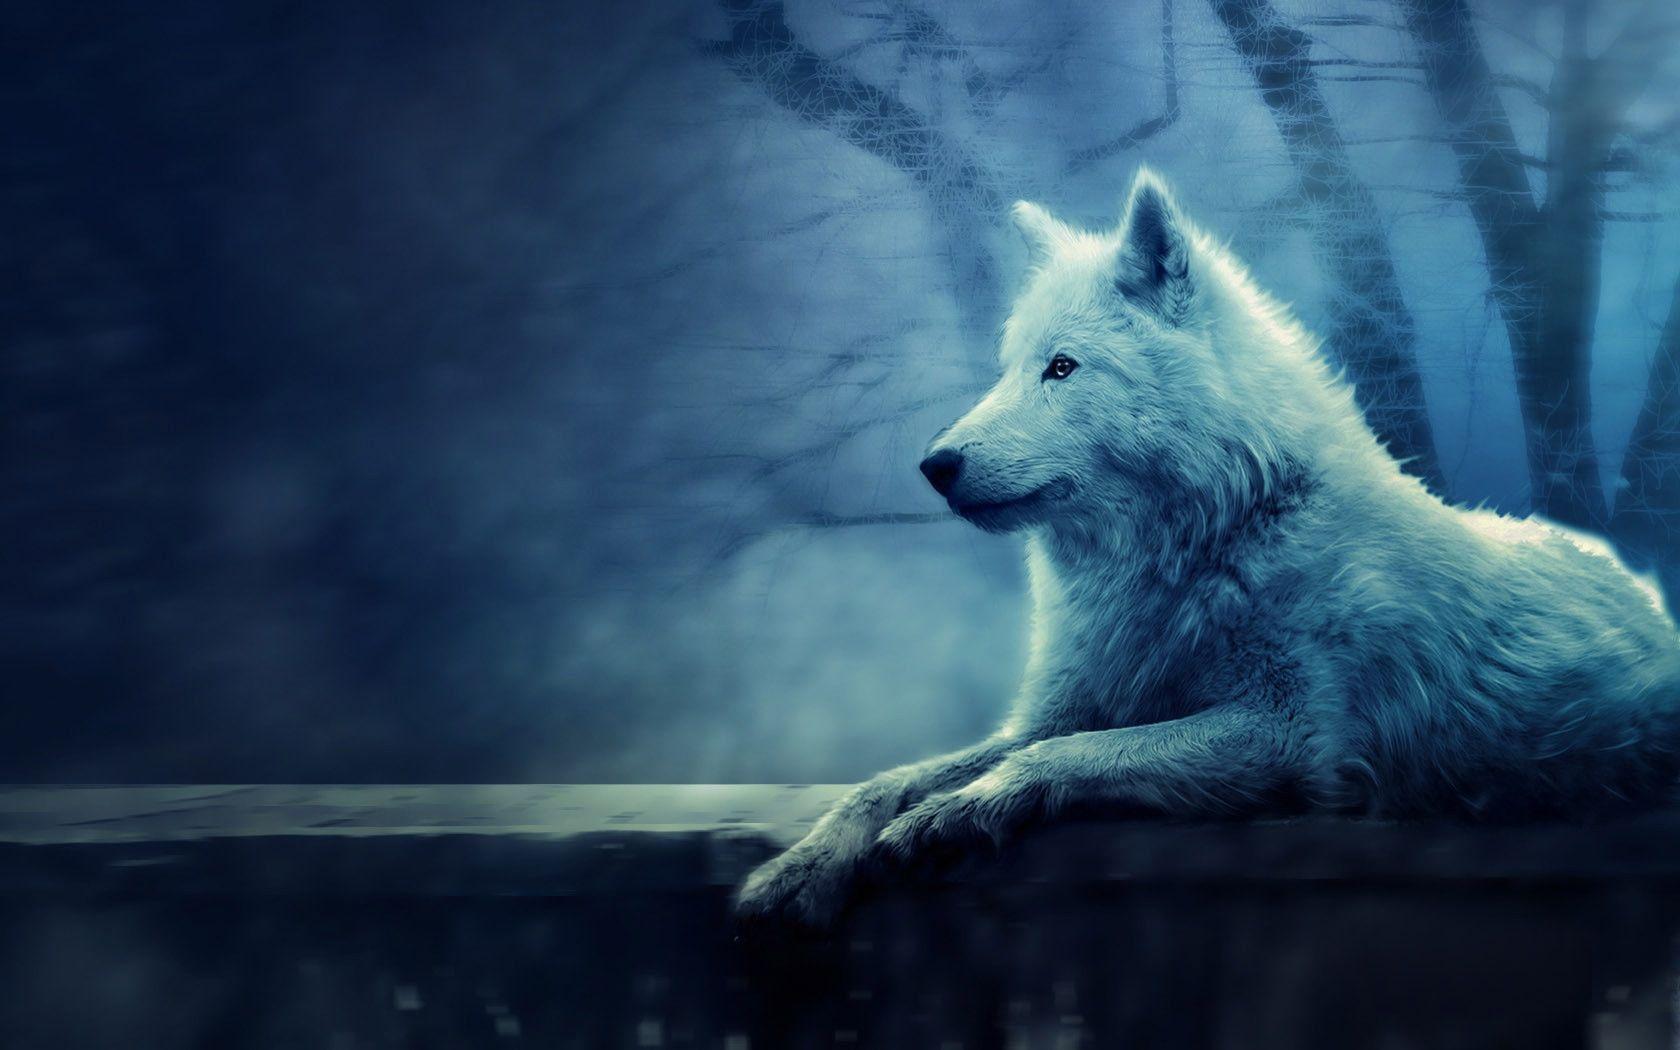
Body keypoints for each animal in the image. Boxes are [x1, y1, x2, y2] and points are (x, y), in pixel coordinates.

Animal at [735, 168, 1680, 927]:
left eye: (1062, 368)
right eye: (1008, 368)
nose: (935, 465)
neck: (1204, 544)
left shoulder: (1294, 737)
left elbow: (1064, 756)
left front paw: (956, 815)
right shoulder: (1068, 706)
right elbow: (888, 780)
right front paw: (800, 870)